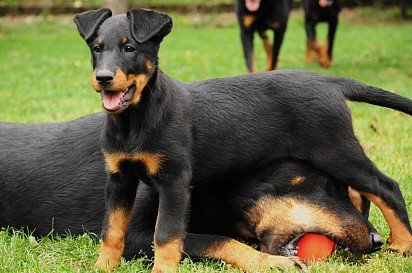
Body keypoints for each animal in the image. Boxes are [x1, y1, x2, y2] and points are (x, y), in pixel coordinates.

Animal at [71, 7, 412, 270]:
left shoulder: (174, 181)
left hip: (335, 149)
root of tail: (328, 81)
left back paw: (401, 244)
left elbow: (166, 236)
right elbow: (112, 231)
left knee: (386, 187)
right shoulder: (119, 178)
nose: (103, 78)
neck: (135, 121)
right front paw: (103, 267)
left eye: (130, 49)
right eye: (96, 49)